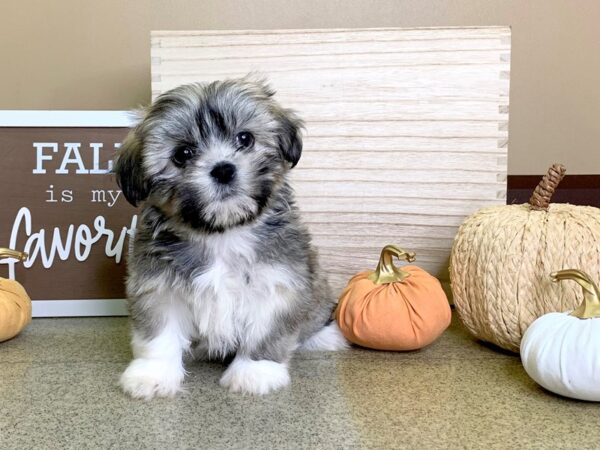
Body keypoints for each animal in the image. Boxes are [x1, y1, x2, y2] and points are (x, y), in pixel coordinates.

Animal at [114, 75, 346, 400]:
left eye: (244, 139)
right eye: (183, 154)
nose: (223, 169)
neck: (222, 233)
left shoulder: (277, 283)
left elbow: (266, 332)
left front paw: (255, 371)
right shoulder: (157, 286)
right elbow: (159, 333)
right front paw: (153, 374)